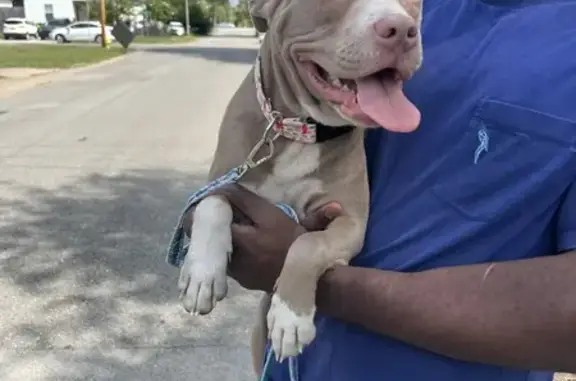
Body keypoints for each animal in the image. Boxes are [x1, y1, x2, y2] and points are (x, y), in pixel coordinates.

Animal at [179, 0, 424, 372]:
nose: (402, 30)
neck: (299, 131)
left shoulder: (350, 221)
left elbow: (309, 243)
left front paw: (290, 316)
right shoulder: (223, 182)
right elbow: (213, 204)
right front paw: (202, 273)